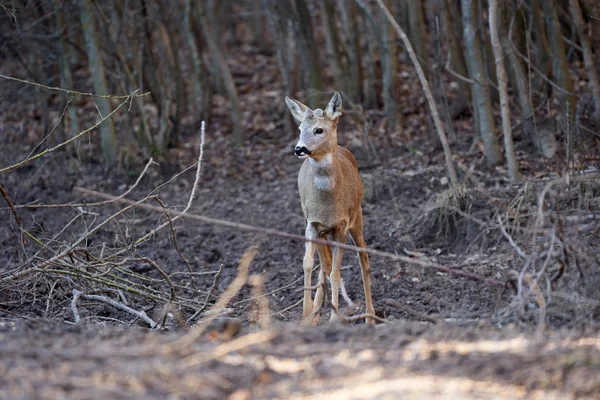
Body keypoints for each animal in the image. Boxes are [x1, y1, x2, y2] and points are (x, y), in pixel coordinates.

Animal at [286, 91, 376, 324]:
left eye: (319, 129)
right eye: (299, 129)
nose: (299, 149)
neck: (327, 204)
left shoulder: (341, 226)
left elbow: (337, 272)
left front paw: (335, 318)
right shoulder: (311, 223)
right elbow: (308, 263)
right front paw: (307, 313)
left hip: (358, 217)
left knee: (364, 260)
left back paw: (370, 317)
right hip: (321, 231)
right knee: (324, 265)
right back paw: (315, 316)